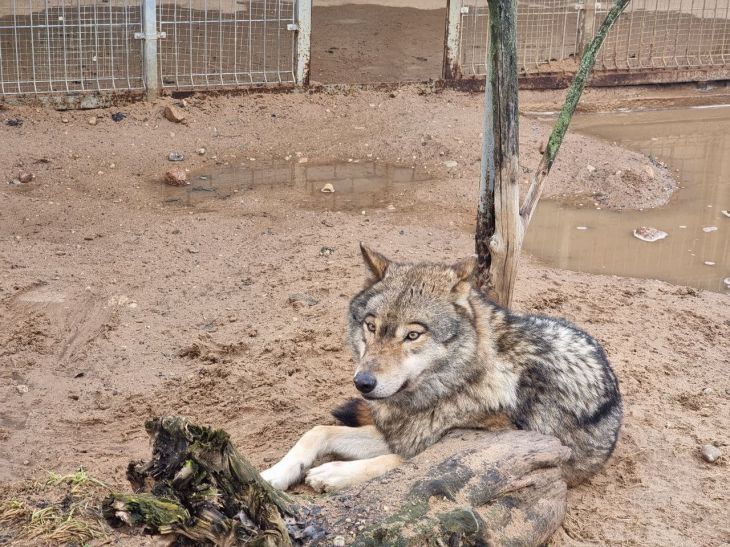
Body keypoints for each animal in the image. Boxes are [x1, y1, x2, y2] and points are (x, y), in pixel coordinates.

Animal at [262, 244, 620, 492]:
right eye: (371, 327)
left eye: (413, 335)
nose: (362, 383)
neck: (454, 386)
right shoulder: (401, 434)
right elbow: (318, 431)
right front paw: (273, 475)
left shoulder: (465, 446)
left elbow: (399, 462)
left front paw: (333, 473)